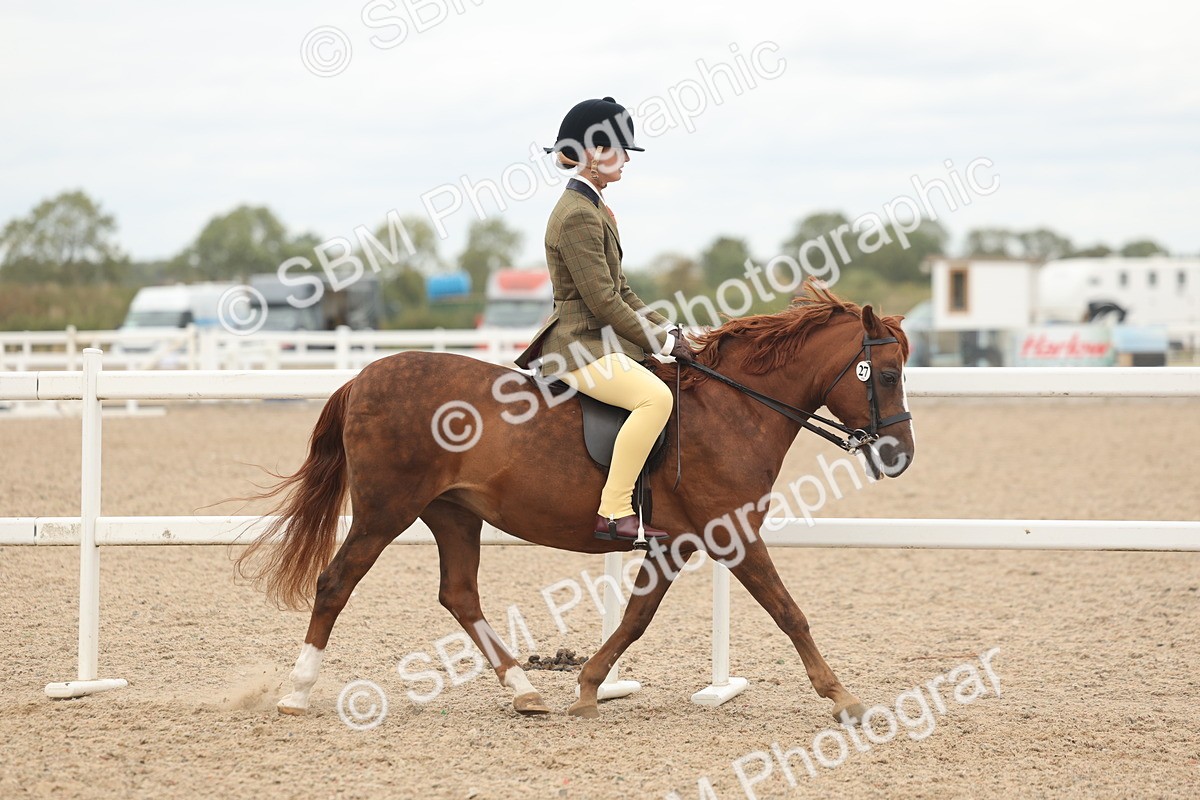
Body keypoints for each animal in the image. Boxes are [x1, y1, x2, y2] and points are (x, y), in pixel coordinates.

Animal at [236, 282, 915, 722]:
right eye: (884, 375)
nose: (898, 455)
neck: (734, 408)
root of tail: (362, 377)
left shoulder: (675, 543)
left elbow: (636, 616)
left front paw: (588, 686)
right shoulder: (733, 535)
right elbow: (788, 611)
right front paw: (843, 697)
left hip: (453, 513)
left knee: (459, 595)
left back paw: (524, 691)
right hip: (385, 512)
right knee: (337, 582)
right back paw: (296, 692)